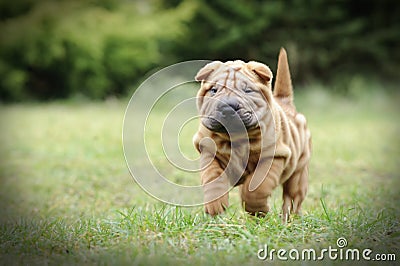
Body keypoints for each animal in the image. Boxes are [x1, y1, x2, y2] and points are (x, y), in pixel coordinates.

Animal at [192, 48, 310, 222]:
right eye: (213, 90)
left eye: (247, 90)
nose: (227, 106)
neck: (236, 137)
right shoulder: (208, 150)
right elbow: (213, 178)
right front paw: (215, 206)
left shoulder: (273, 157)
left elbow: (257, 187)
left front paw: (258, 210)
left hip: (299, 172)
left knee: (292, 197)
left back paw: (287, 220)